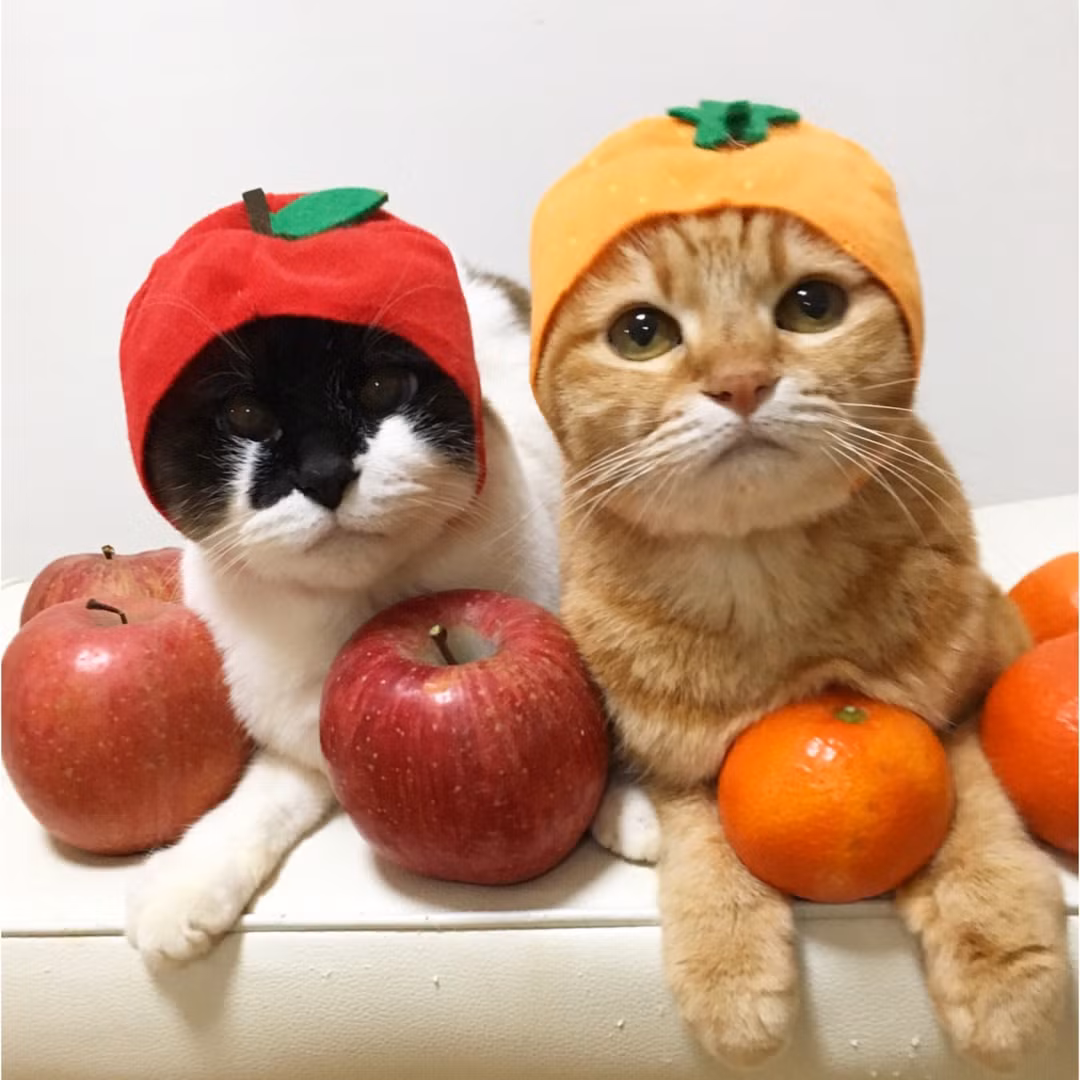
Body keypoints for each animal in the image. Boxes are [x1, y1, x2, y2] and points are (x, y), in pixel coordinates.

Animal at [125, 267, 561, 967]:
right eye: (245, 416)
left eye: (382, 388)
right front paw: (184, 888)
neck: (366, 609)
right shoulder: (301, 737)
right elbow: (259, 803)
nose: (326, 474)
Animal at [533, 209, 1067, 1069]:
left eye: (812, 305)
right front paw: (729, 971)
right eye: (641, 332)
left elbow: (975, 818)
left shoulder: (961, 709)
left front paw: (1003, 971)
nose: (741, 382)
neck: (765, 583)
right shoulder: (683, 755)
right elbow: (705, 832)